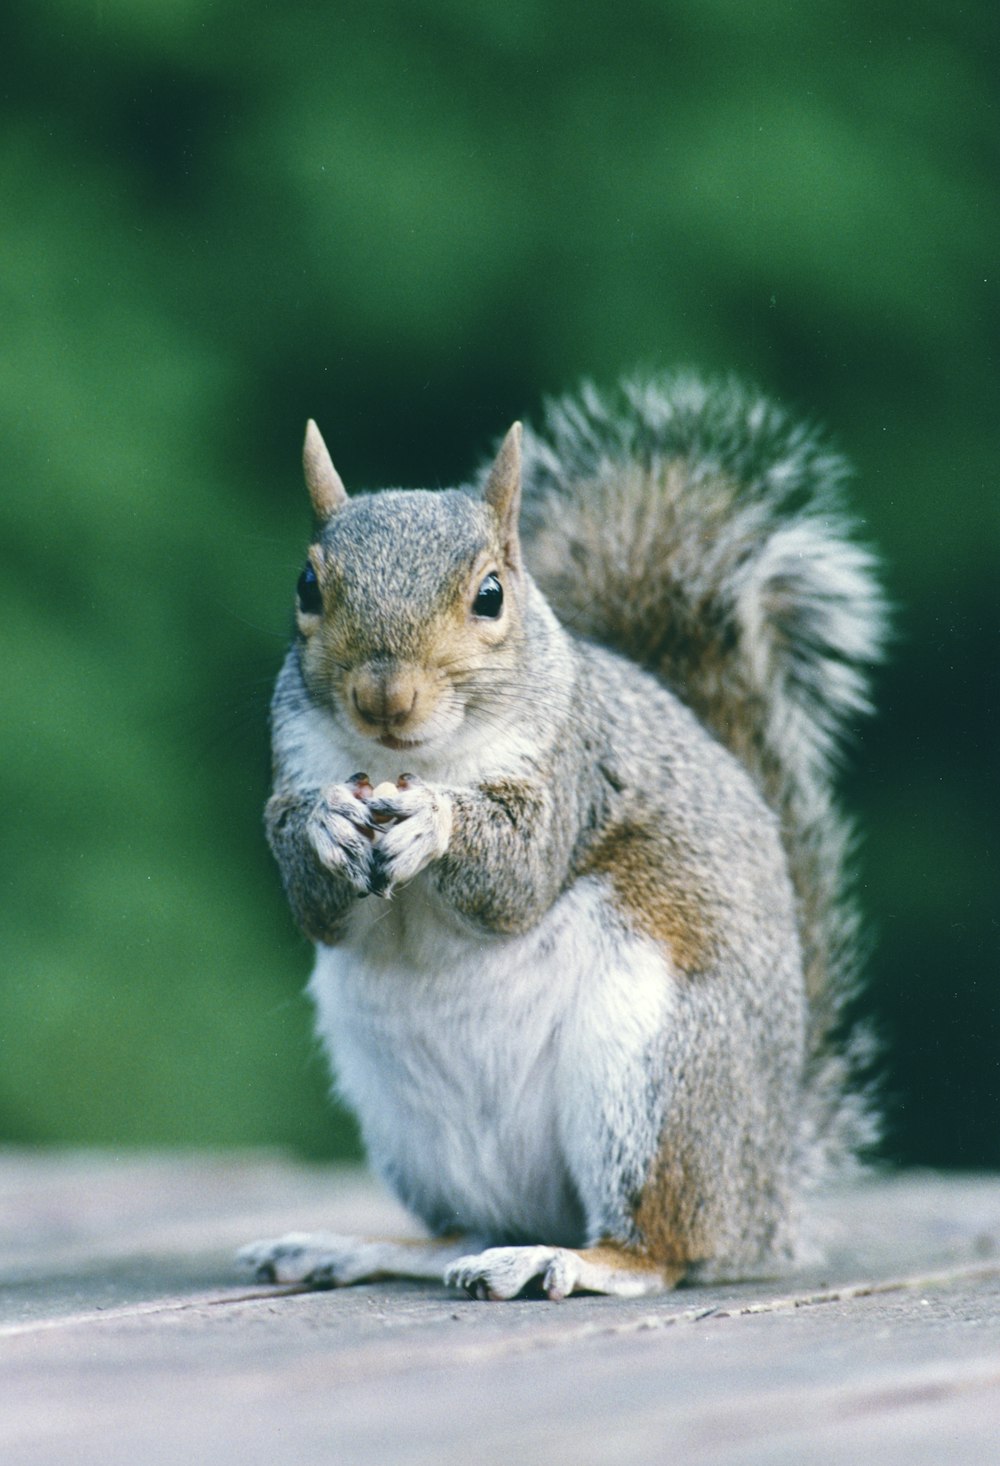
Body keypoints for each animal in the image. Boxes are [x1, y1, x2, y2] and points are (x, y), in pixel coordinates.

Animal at [239, 372, 879, 1301]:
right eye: (306, 588)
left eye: (491, 594)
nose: (385, 697)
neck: (407, 760)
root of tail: (764, 1198)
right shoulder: (293, 765)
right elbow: (314, 897)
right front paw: (327, 822)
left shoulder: (573, 772)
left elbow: (519, 875)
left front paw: (438, 819)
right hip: (409, 1121)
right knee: (471, 1225)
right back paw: (354, 1247)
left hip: (651, 1077)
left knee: (659, 1250)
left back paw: (563, 1259)